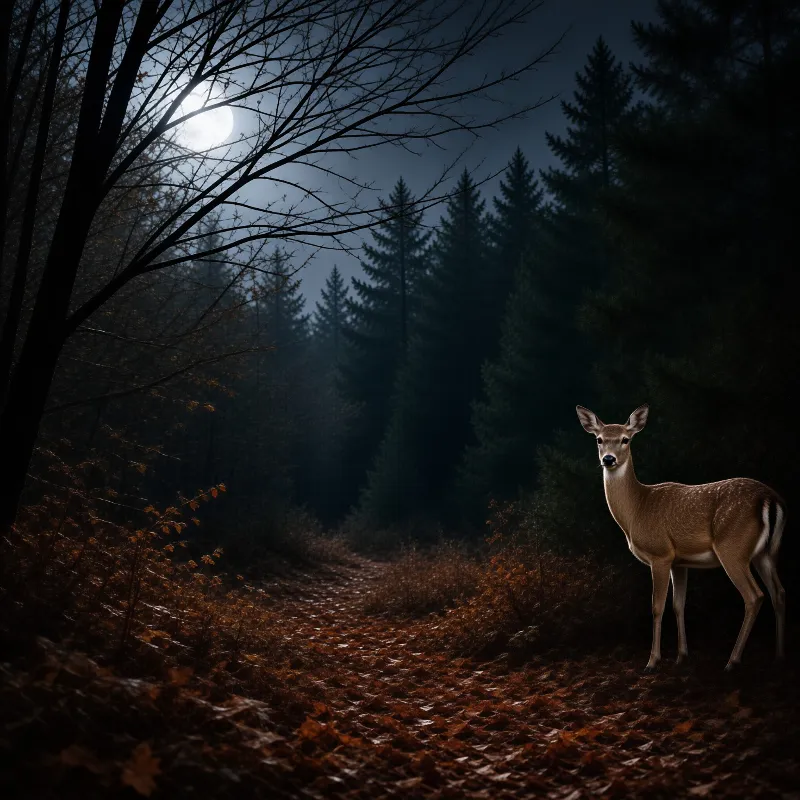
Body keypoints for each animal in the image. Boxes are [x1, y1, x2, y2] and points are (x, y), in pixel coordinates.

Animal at [575, 404, 786, 672]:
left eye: (625, 439)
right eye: (599, 439)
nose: (608, 459)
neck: (636, 510)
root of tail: (770, 499)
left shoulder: (660, 554)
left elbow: (657, 607)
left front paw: (652, 661)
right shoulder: (680, 561)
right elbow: (678, 605)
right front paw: (681, 656)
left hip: (733, 548)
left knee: (754, 596)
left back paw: (732, 661)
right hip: (766, 552)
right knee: (778, 592)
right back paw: (778, 656)